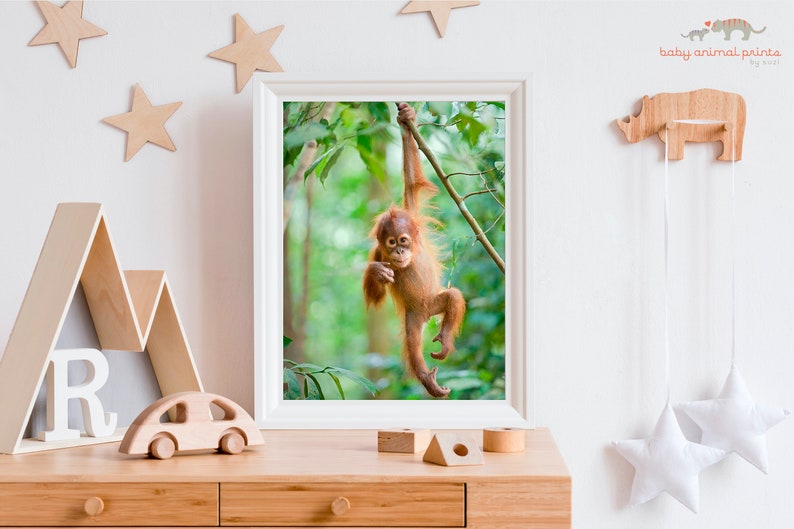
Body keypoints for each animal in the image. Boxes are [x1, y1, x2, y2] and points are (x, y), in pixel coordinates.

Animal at [362, 102, 466, 398]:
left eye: (404, 240)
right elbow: (376, 296)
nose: (398, 253)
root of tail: (426, 312)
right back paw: (427, 378)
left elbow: (411, 182)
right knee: (411, 342)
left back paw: (444, 341)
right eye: (391, 243)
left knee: (453, 297)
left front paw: (406, 118)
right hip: (413, 317)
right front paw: (377, 272)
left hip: (434, 301)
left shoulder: (413, 213)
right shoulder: (378, 253)